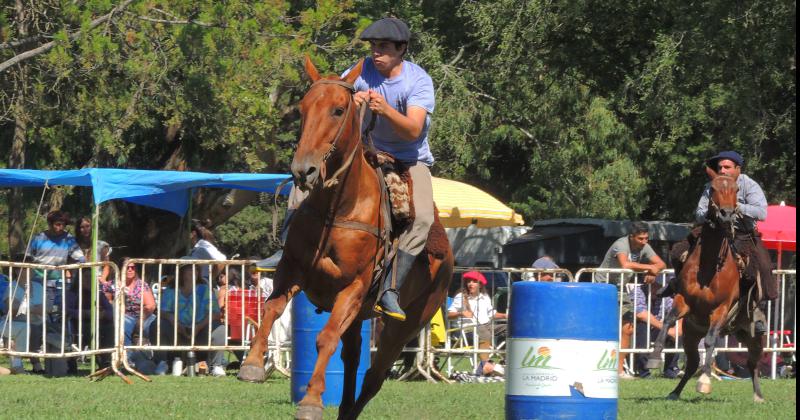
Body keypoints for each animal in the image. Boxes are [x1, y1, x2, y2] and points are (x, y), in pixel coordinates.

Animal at [234, 56, 454, 420]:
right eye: (302, 108)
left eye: (338, 110)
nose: (303, 170)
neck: (339, 208)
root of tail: (449, 257)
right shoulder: (293, 269)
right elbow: (272, 309)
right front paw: (251, 365)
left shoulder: (354, 287)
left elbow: (324, 338)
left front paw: (311, 401)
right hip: (360, 318)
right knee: (351, 359)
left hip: (406, 325)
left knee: (374, 375)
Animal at [648, 167, 764, 404]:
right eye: (713, 188)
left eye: (736, 189)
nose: (726, 214)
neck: (710, 265)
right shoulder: (684, 300)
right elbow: (668, 320)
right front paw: (653, 357)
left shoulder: (721, 309)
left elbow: (711, 341)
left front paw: (705, 382)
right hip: (691, 334)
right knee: (692, 363)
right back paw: (674, 392)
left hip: (754, 336)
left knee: (753, 364)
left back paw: (758, 395)